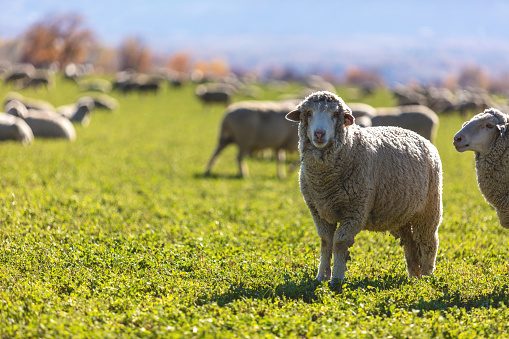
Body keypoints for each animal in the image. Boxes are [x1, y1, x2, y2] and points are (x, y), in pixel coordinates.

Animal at [284, 91, 442, 286]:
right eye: (308, 113)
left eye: (335, 114)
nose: (319, 133)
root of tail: (420, 137)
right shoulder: (318, 211)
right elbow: (326, 241)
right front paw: (321, 277)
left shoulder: (355, 210)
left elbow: (340, 242)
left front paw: (336, 280)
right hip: (401, 213)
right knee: (410, 243)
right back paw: (414, 276)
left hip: (429, 208)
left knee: (428, 242)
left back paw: (426, 278)